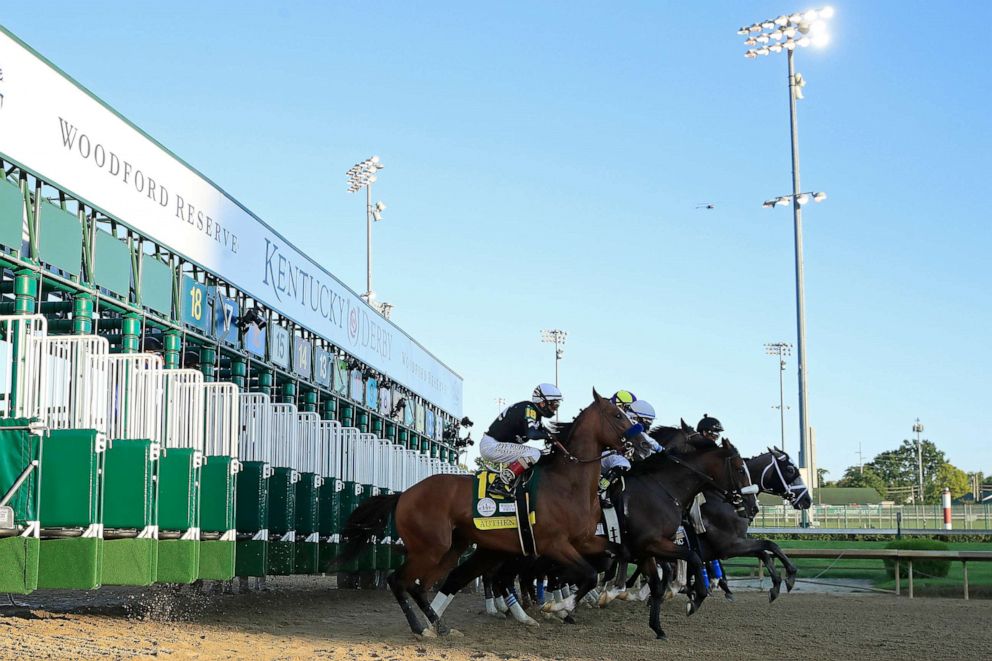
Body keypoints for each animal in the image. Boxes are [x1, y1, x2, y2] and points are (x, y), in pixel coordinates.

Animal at [338, 390, 640, 636]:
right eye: (617, 415)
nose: (642, 442)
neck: (567, 481)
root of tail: (404, 494)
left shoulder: (583, 540)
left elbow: (618, 553)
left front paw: (611, 593)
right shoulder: (553, 544)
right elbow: (587, 574)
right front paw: (558, 608)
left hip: (451, 548)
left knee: (421, 585)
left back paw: (440, 627)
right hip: (430, 548)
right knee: (398, 580)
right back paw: (420, 628)